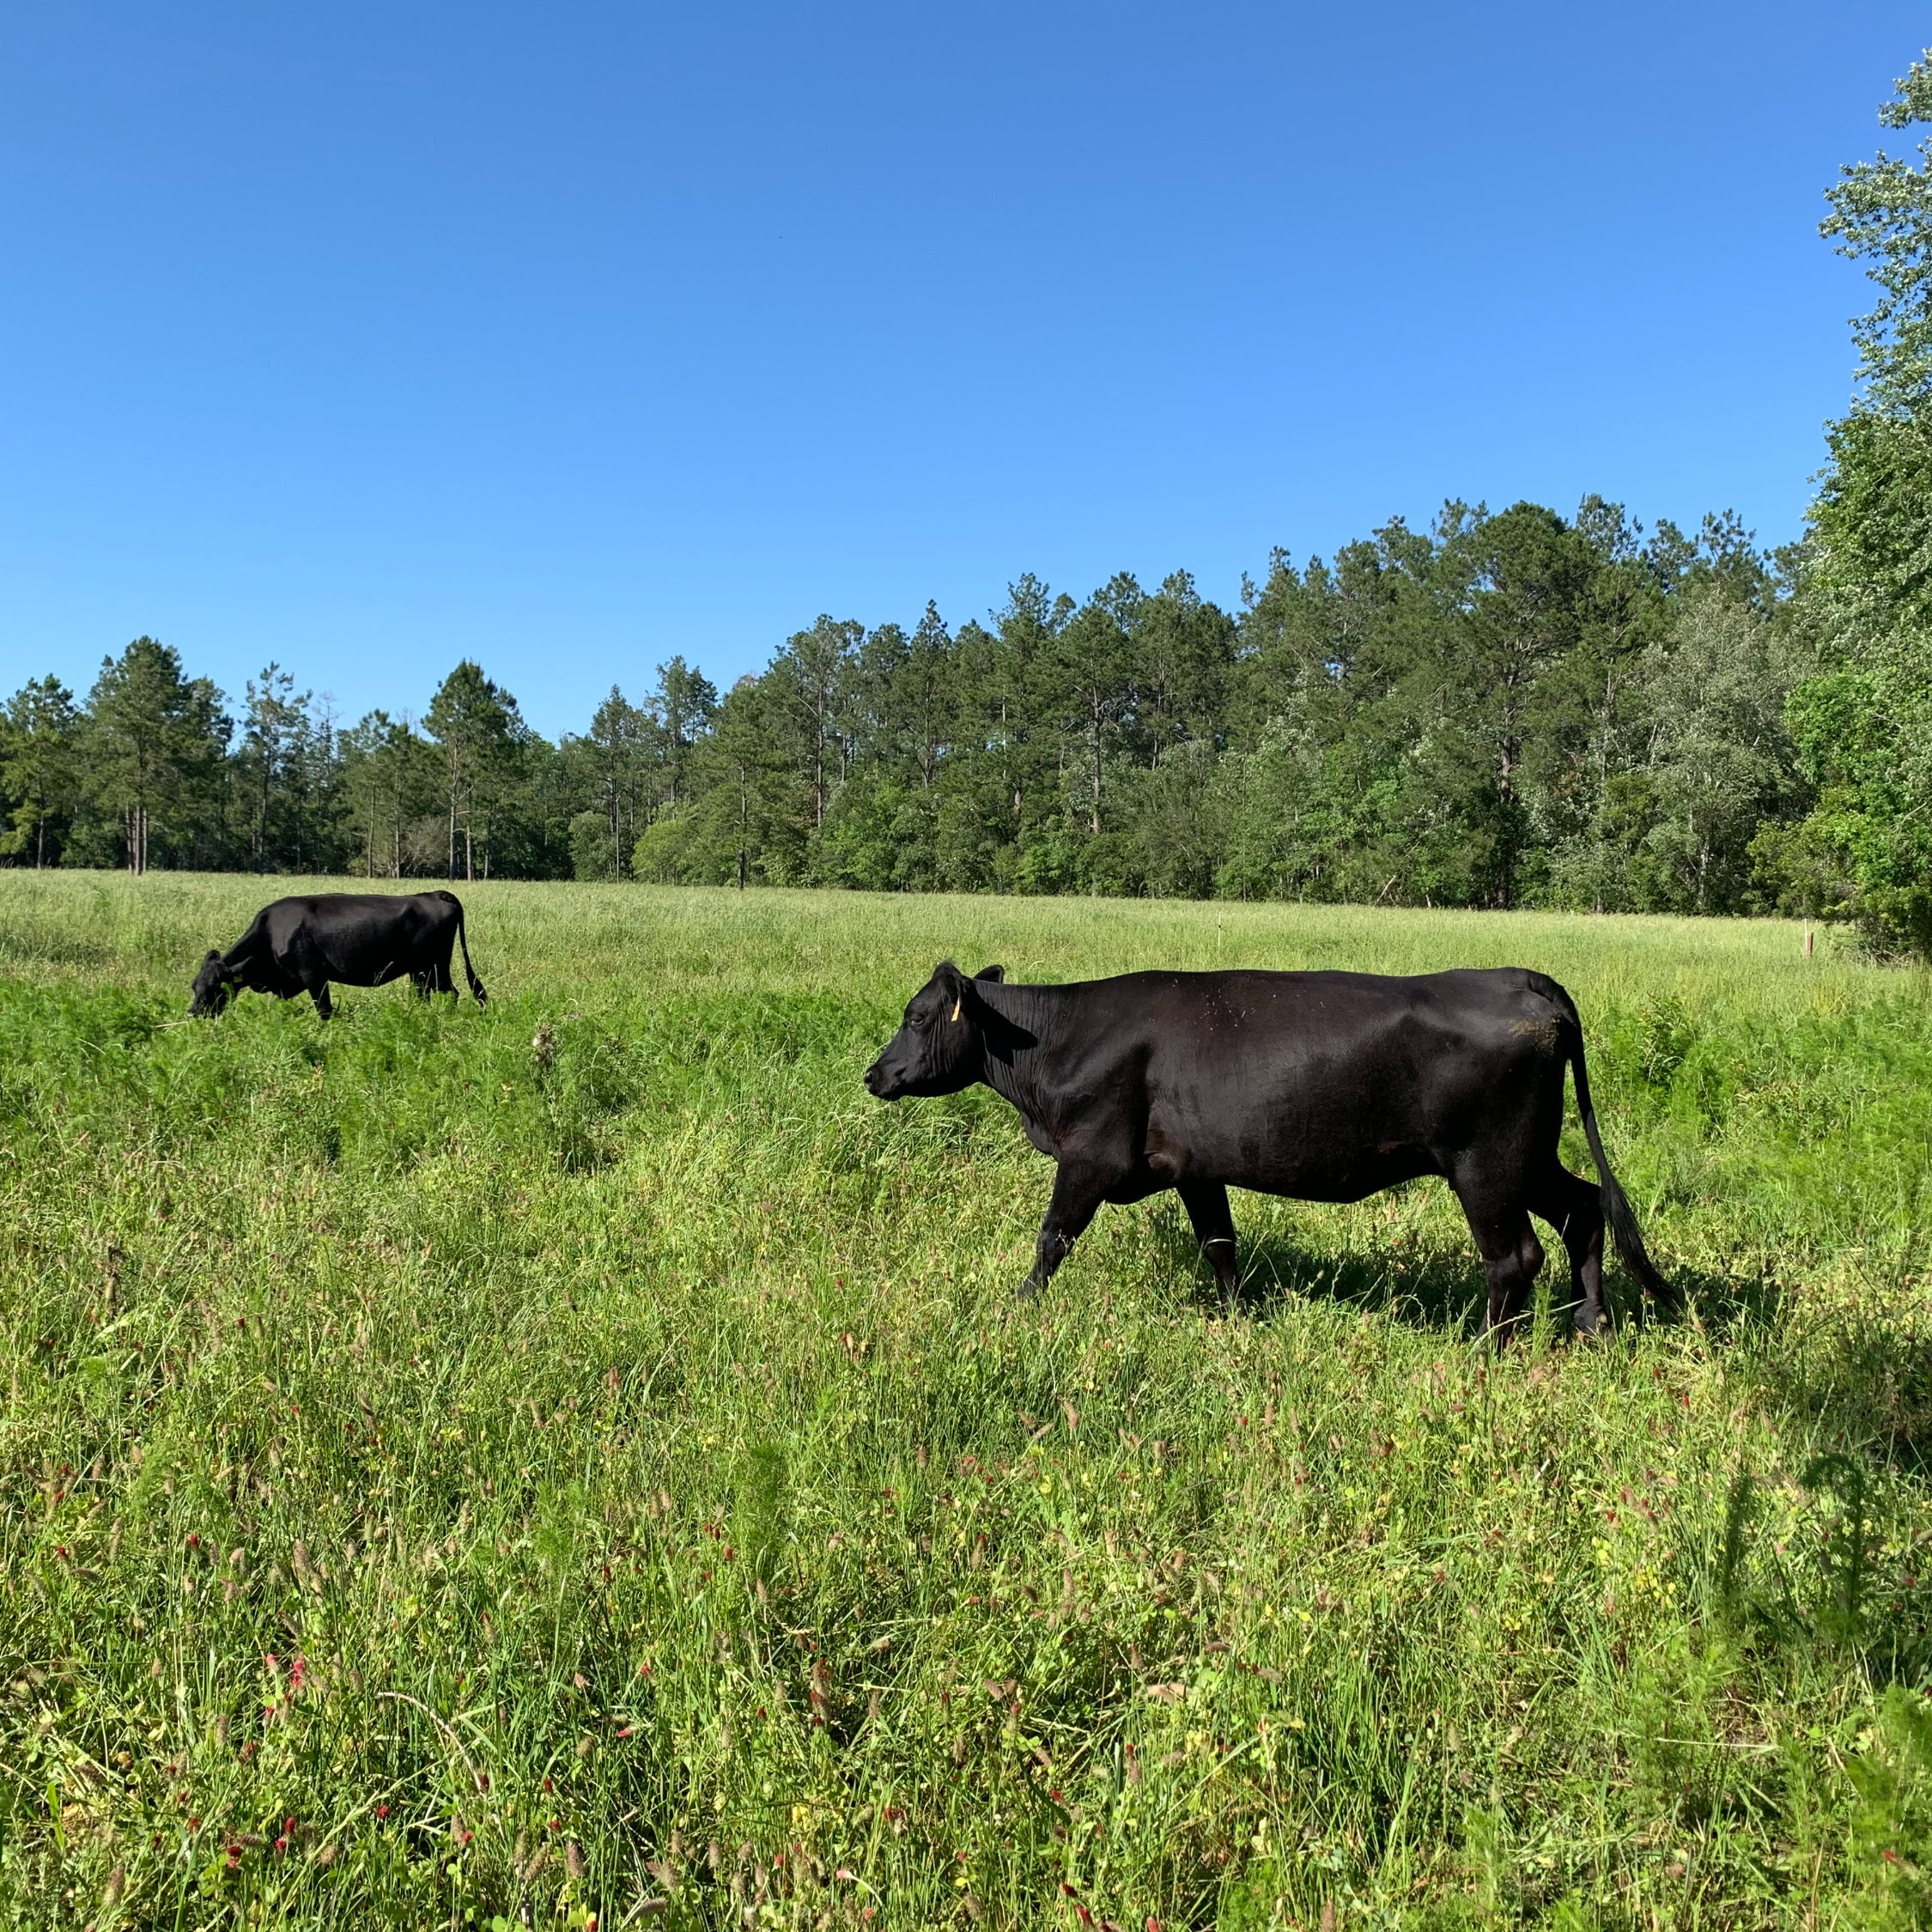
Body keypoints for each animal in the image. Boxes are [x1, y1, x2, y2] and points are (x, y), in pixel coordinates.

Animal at [187, 884, 487, 1020]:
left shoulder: (314, 976)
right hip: (422, 971)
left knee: (450, 993)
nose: (192, 1012)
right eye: (194, 985)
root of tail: (435, 894)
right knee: (431, 996)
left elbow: (324, 1011)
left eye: (215, 987)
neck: (272, 931)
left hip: (433, 967)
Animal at [869, 954, 1669, 1345]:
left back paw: (1481, 1350)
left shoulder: (1091, 1157)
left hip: (1486, 1163)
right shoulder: (1194, 1167)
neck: (1060, 1042)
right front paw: (1238, 1320)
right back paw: (1592, 1326)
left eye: (917, 1016)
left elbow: (1052, 1239)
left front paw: (1018, 1308)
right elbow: (1219, 1244)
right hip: (1529, 1156)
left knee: (1515, 1256)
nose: (874, 1073)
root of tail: (1524, 980)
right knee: (1585, 1209)